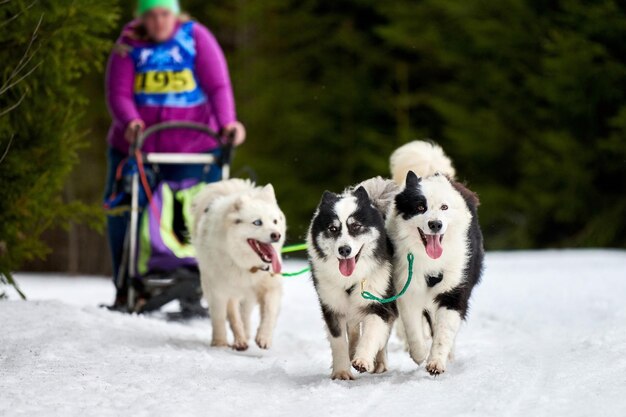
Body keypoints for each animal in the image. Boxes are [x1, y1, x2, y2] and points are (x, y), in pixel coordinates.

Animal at [191, 179, 286, 352]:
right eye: (257, 222)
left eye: (275, 221)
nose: (276, 235)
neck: (247, 267)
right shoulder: (219, 291)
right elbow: (221, 318)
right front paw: (219, 343)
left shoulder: (271, 287)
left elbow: (269, 312)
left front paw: (264, 338)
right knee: (234, 316)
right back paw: (240, 341)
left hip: (247, 297)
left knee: (245, 315)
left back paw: (246, 335)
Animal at [304, 179, 398, 380]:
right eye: (333, 229)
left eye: (356, 226)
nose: (344, 250)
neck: (351, 279)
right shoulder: (332, 306)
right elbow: (339, 341)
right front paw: (341, 372)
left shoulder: (380, 304)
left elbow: (372, 333)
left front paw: (362, 360)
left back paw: (379, 363)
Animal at [386, 141, 482, 376]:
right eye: (420, 207)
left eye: (444, 207)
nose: (435, 224)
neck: (430, 261)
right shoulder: (408, 288)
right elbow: (413, 327)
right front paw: (419, 354)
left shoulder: (454, 287)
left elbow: (444, 330)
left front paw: (437, 362)